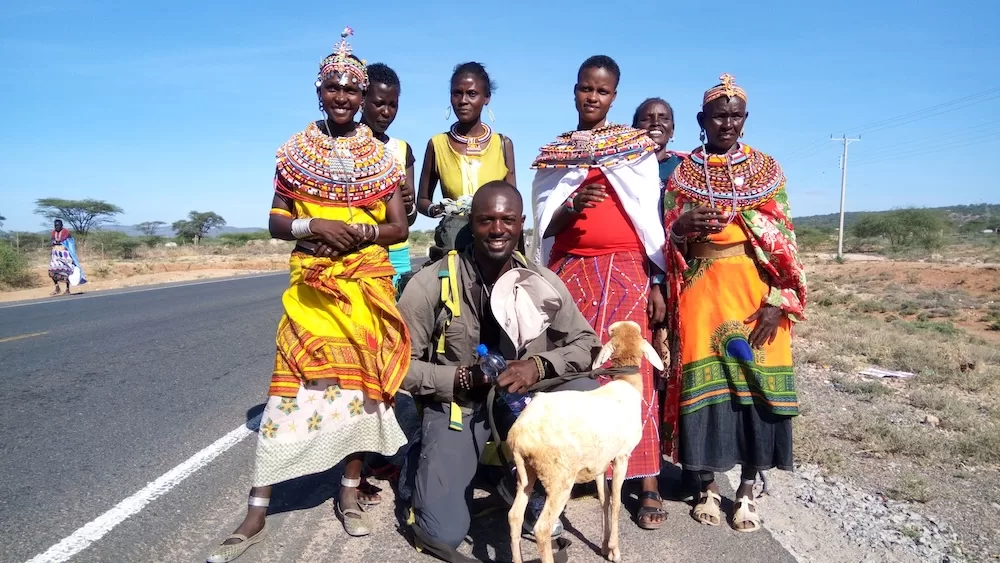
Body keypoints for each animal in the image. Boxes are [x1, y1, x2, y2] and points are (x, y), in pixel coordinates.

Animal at [508, 322, 664, 563]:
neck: (626, 384)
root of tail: (520, 434)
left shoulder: (601, 461)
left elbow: (604, 498)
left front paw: (604, 546)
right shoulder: (622, 456)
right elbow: (616, 502)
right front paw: (615, 550)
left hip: (526, 472)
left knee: (514, 516)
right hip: (559, 477)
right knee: (542, 528)